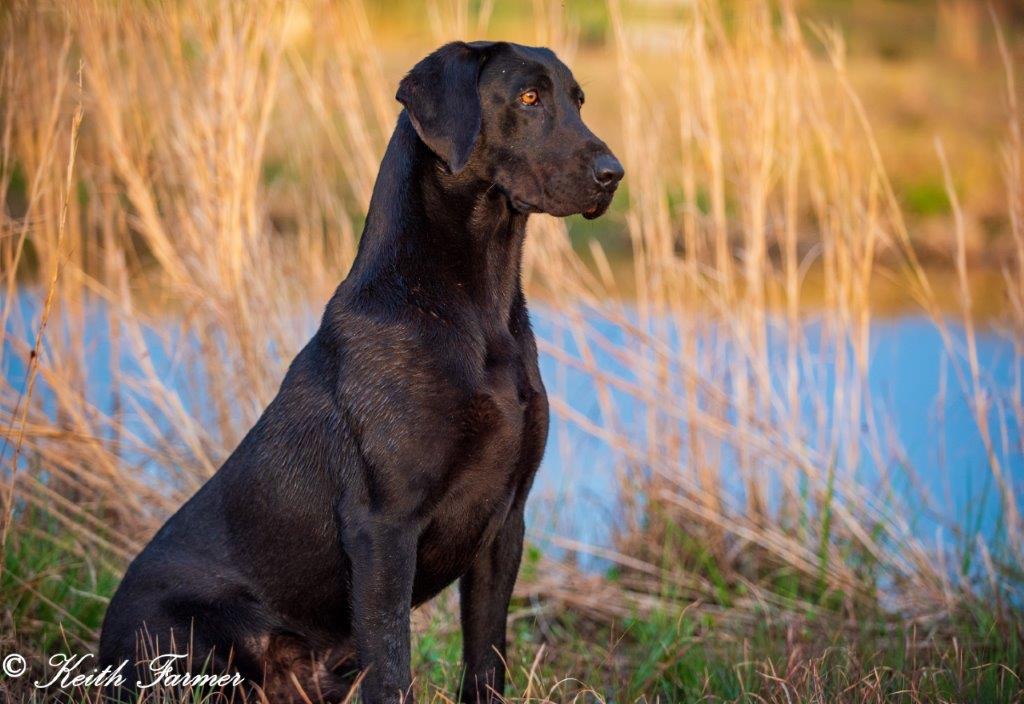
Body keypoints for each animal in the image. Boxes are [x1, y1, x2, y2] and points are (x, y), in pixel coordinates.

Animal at [97, 41, 622, 699]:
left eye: (578, 100)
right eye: (529, 97)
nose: (613, 174)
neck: (477, 307)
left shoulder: (506, 525)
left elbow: (486, 661)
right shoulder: (383, 527)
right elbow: (394, 668)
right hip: (196, 636)